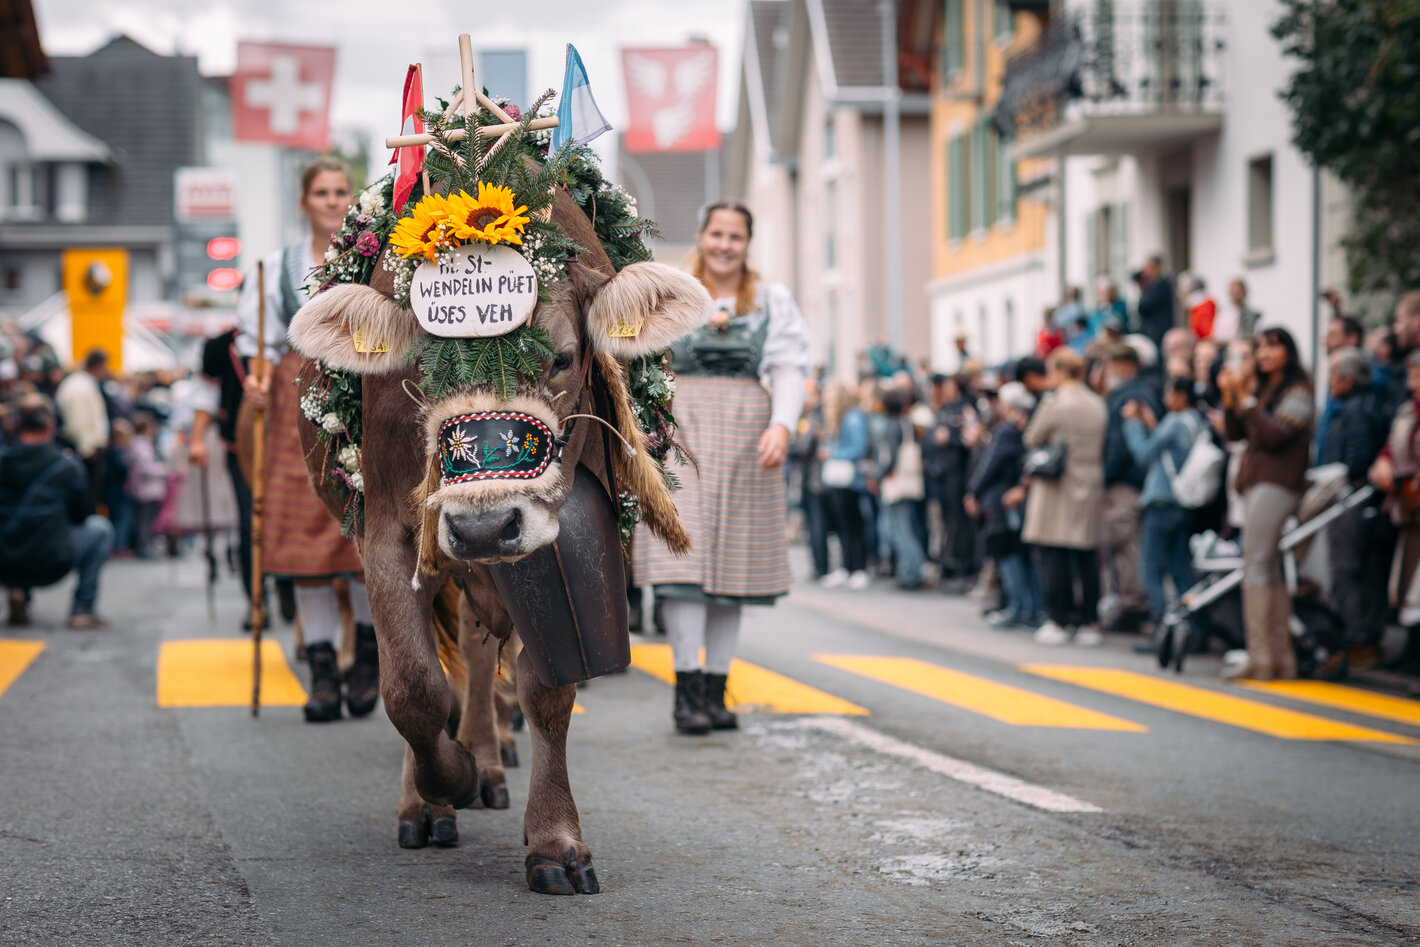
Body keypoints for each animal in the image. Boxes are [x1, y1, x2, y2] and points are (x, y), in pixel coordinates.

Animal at [285, 83, 707, 897]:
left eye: (565, 358)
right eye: (417, 367)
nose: (484, 528)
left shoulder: (558, 531)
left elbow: (546, 689)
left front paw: (556, 841)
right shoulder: (388, 528)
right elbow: (413, 687)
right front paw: (437, 785)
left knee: (483, 657)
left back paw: (486, 757)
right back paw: (440, 788)